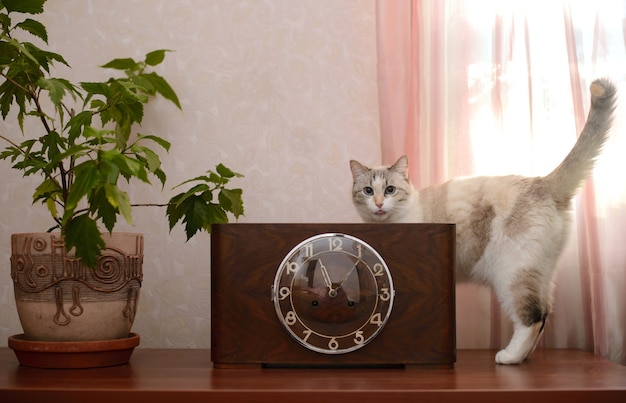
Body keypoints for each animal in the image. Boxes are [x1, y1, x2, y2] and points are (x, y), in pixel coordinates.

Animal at [348, 79, 616, 366]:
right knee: (544, 313)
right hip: (541, 273)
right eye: (368, 191)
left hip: (511, 274)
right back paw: (523, 357)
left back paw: (509, 357)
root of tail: (542, 182)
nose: (378, 204)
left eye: (389, 190)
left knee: (531, 317)